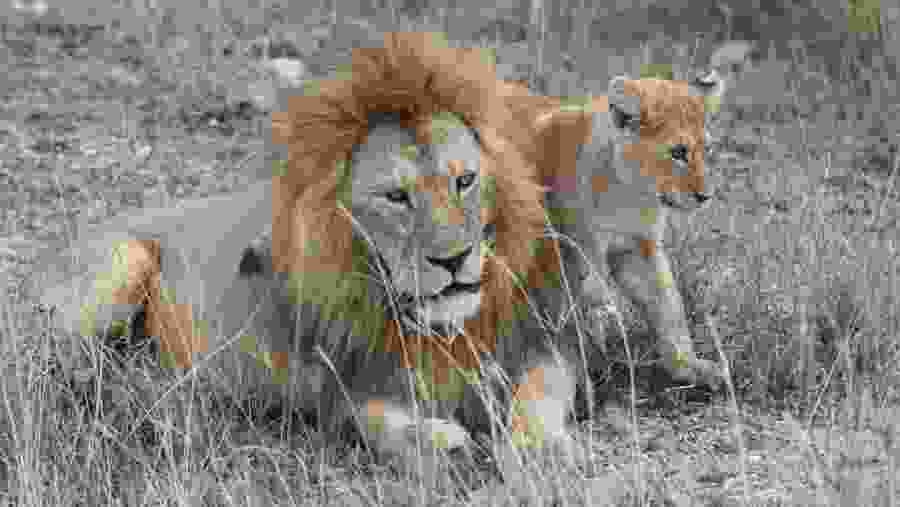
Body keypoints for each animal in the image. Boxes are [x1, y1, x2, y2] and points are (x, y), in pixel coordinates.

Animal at [27, 32, 746, 464]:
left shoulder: (626, 260)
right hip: (121, 263)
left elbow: (655, 317)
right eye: (395, 197)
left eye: (465, 179)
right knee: (58, 373)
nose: (453, 260)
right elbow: (384, 420)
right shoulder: (347, 387)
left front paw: (689, 368)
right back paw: (140, 389)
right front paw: (447, 442)